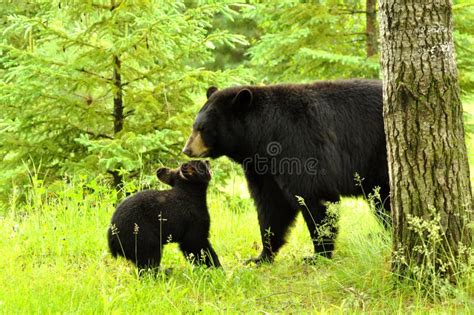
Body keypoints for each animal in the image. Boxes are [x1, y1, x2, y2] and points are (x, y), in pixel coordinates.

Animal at [183, 79, 386, 264]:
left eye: (203, 128)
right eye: (194, 126)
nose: (187, 150)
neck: (264, 136)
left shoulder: (300, 144)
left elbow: (314, 195)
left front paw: (318, 254)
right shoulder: (263, 167)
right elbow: (272, 205)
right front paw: (261, 256)